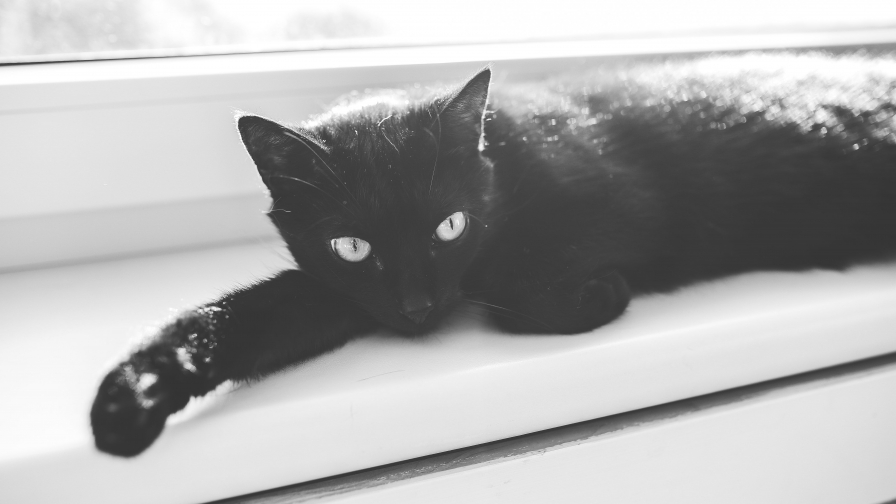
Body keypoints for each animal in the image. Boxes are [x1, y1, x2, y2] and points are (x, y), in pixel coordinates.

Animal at [93, 52, 896, 456]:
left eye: (450, 226)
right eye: (352, 245)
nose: (417, 307)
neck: (502, 162)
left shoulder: (624, 206)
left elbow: (524, 292)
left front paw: (602, 293)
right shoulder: (333, 289)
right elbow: (233, 319)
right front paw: (131, 397)